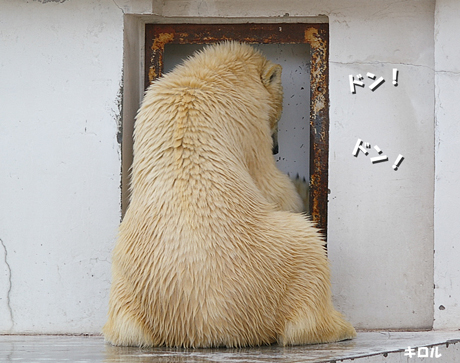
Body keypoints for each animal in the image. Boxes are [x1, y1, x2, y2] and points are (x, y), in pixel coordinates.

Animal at [104, 41, 356, 348]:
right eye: (278, 113)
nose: (276, 147)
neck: (204, 77)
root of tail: (209, 329)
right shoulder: (248, 118)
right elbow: (269, 183)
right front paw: (299, 187)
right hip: (277, 259)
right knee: (309, 254)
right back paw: (340, 327)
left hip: (127, 282)